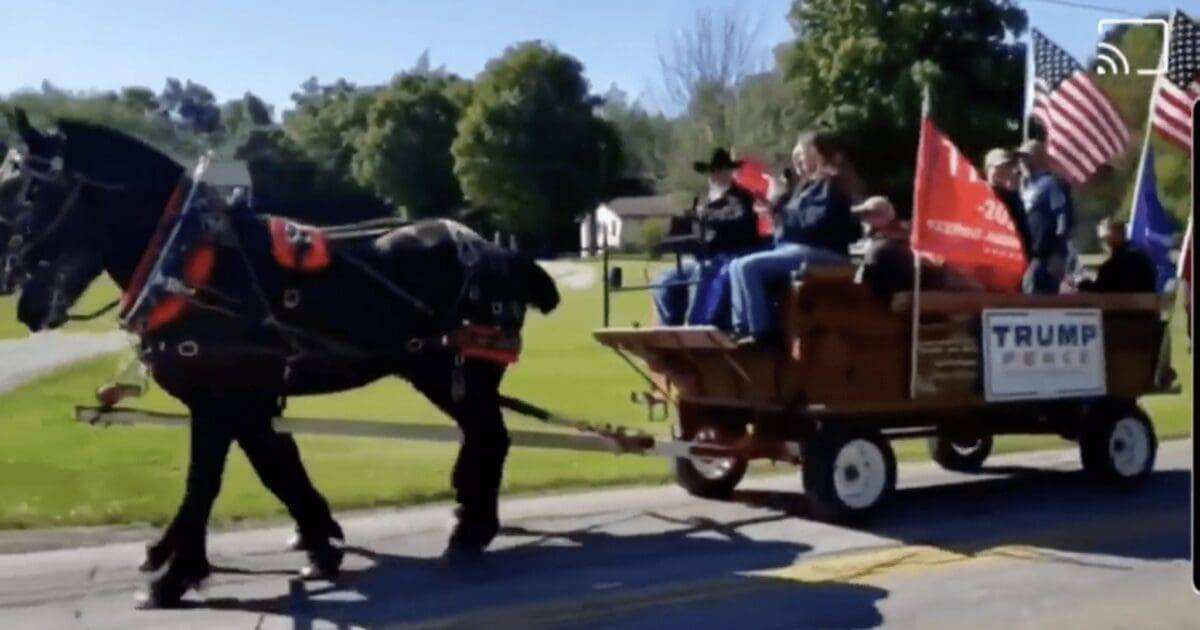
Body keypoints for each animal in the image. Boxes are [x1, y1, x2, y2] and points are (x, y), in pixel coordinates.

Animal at [0, 111, 560, 608]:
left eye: (27, 191)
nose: (13, 288)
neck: (191, 261)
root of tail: (497, 252)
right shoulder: (245, 402)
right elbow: (276, 465)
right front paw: (315, 541)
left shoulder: (221, 399)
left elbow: (208, 482)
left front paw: (175, 577)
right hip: (444, 375)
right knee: (482, 438)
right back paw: (467, 519)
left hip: (451, 374)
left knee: (491, 437)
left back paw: (471, 531)